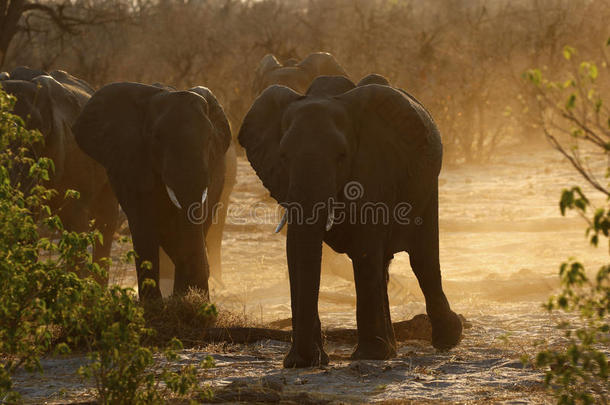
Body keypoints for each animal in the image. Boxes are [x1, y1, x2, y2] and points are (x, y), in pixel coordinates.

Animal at [239, 74, 460, 368]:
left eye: (342, 156)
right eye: (283, 156)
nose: (304, 360)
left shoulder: (374, 165)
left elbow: (366, 246)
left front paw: (370, 356)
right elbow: (295, 248)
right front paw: (305, 361)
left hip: (427, 187)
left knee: (422, 260)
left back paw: (448, 339)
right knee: (385, 265)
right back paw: (393, 347)